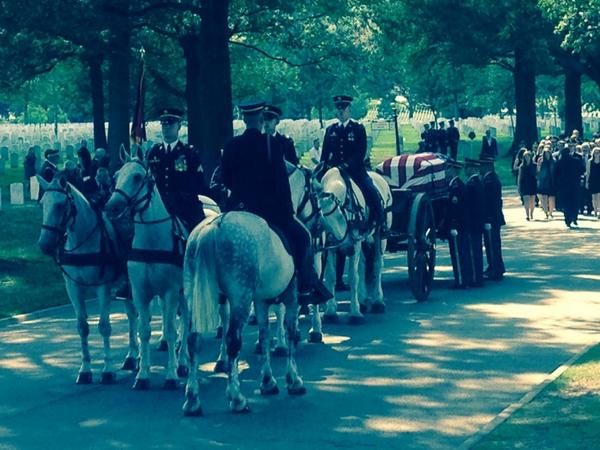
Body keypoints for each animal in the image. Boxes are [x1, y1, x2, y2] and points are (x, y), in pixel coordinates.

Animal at [37, 174, 138, 384]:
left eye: (60, 205)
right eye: (42, 204)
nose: (44, 244)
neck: (84, 243)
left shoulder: (103, 288)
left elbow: (104, 326)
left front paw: (107, 370)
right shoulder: (73, 288)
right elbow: (82, 327)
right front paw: (84, 370)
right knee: (133, 315)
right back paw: (132, 357)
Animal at [182, 211, 304, 414]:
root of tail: (213, 227)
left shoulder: (261, 300)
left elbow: (264, 337)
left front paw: (268, 382)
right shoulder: (292, 296)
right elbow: (291, 334)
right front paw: (294, 380)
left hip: (193, 295)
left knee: (193, 340)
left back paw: (192, 400)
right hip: (241, 295)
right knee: (233, 341)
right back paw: (237, 398)